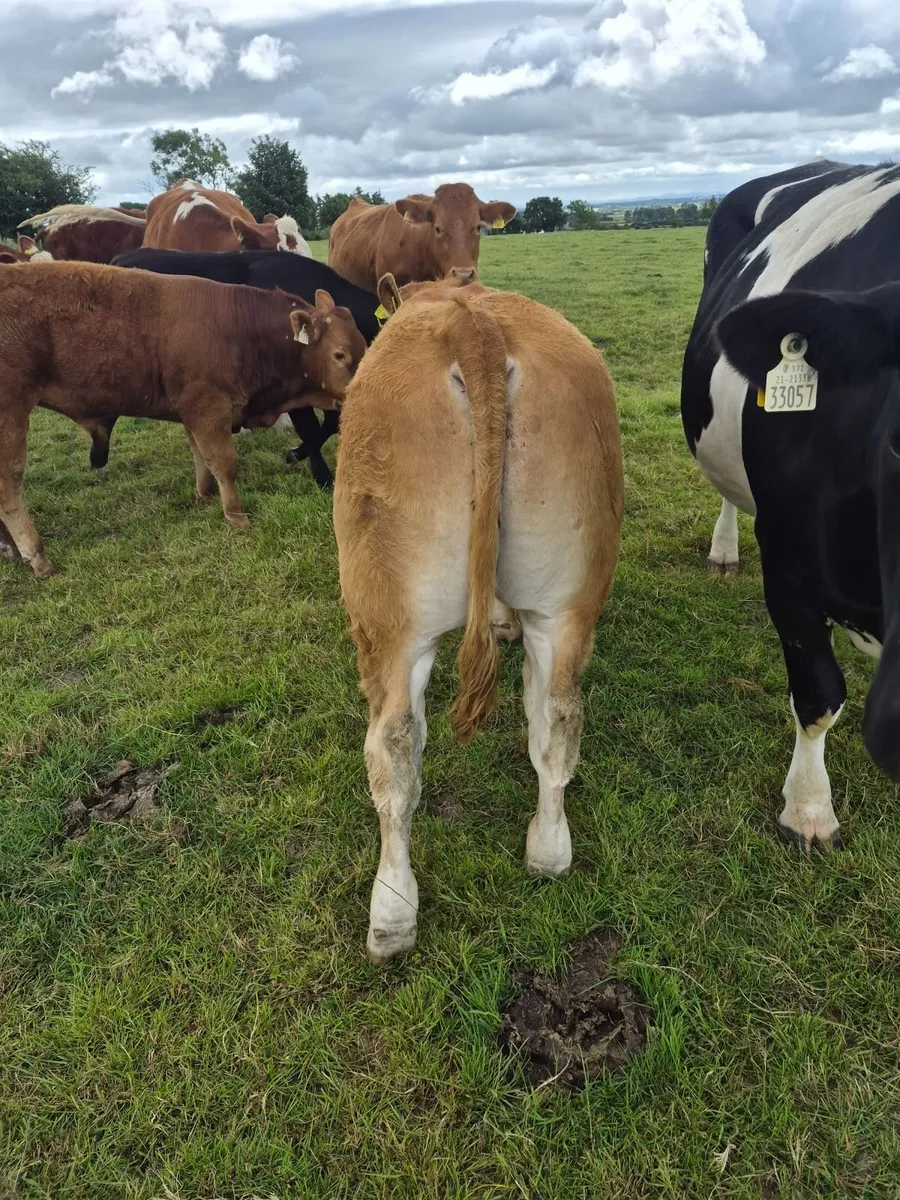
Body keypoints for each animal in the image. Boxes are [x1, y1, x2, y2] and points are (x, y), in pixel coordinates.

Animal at [0, 261, 366, 578]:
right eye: (339, 354)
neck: (242, 329)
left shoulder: (191, 411)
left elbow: (199, 455)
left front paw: (204, 494)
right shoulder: (208, 407)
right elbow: (224, 462)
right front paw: (235, 515)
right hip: (11, 414)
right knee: (9, 487)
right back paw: (36, 556)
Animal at [333, 278, 623, 963]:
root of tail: (473, 322)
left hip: (389, 617)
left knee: (394, 747)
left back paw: (391, 914)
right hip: (566, 597)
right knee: (558, 718)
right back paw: (548, 851)